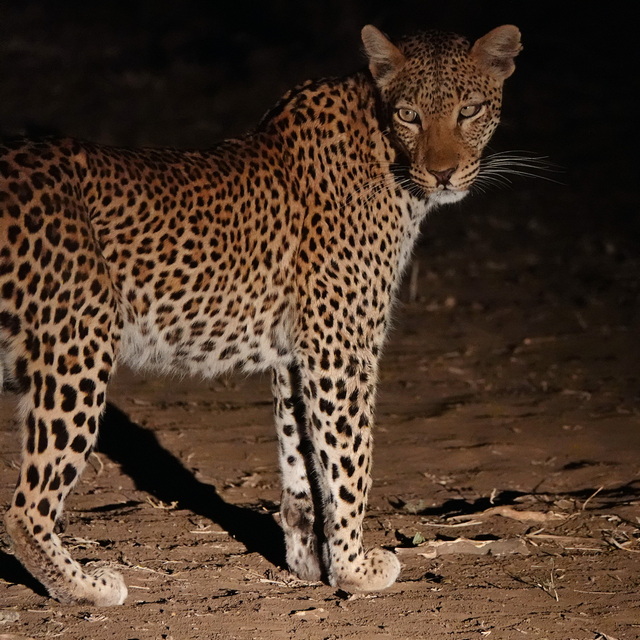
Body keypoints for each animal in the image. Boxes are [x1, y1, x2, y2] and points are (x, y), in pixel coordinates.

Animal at [0, 24, 521, 606]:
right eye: (409, 114)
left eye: (470, 109)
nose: (442, 172)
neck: (386, 152)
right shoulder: (341, 350)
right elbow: (351, 460)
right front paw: (355, 569)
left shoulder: (296, 356)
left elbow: (302, 465)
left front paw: (310, 562)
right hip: (78, 343)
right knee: (27, 508)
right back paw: (88, 586)